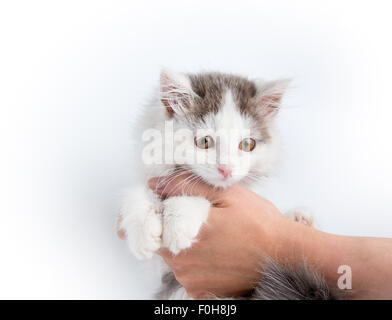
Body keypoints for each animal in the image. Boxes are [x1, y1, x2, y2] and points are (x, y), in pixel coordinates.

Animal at [119, 70, 336, 300]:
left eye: (247, 144)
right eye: (204, 142)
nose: (226, 169)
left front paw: (179, 226)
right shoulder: (161, 272)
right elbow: (134, 194)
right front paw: (142, 236)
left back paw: (300, 219)